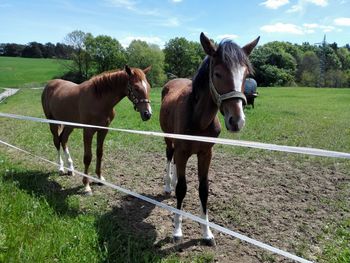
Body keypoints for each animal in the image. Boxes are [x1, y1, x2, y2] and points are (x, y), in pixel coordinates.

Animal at [42, 65, 152, 195]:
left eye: (148, 87)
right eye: (136, 87)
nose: (147, 114)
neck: (99, 99)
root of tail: (50, 84)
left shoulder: (103, 130)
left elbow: (99, 153)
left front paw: (99, 178)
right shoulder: (88, 131)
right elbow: (87, 157)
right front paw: (86, 185)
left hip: (70, 125)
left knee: (63, 140)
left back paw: (71, 168)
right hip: (53, 123)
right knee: (56, 142)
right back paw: (61, 167)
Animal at [160, 33, 258, 245]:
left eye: (246, 75)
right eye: (218, 74)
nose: (237, 120)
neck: (198, 118)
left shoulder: (206, 153)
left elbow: (204, 190)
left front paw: (207, 233)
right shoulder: (183, 152)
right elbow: (182, 188)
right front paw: (177, 231)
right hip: (168, 139)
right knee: (169, 157)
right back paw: (168, 185)